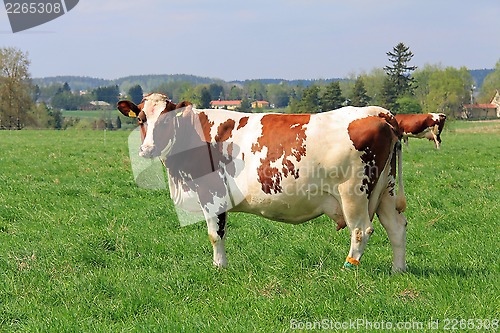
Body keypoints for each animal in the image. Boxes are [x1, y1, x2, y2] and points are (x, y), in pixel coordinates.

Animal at [119, 92, 408, 272]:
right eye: (141, 119)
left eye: (166, 120)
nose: (147, 149)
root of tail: (377, 112)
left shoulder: (212, 194)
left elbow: (215, 234)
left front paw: (219, 267)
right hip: (387, 190)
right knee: (396, 227)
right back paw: (398, 269)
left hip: (353, 192)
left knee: (361, 230)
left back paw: (348, 268)